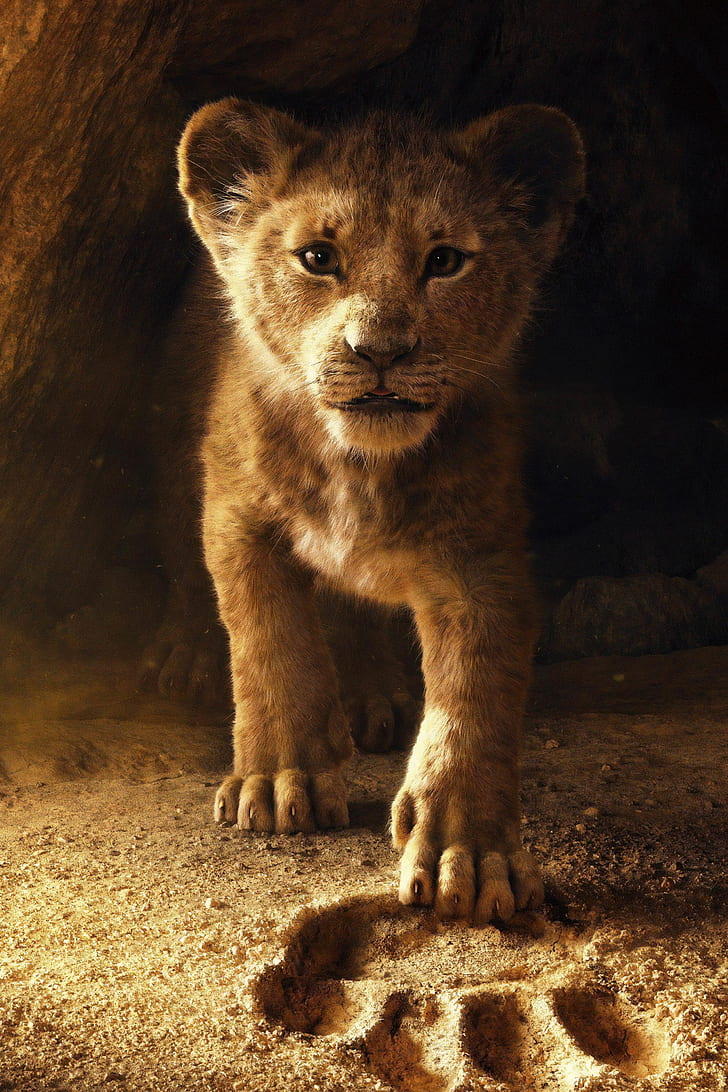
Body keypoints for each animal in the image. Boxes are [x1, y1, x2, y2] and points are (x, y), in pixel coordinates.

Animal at [166, 98, 584, 923]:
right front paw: (280, 780)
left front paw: (469, 852)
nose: (380, 351)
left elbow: (474, 697)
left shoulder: (480, 558)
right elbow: (271, 644)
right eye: (318, 258)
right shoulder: (237, 516)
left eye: (446, 260)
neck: (359, 465)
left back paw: (371, 698)